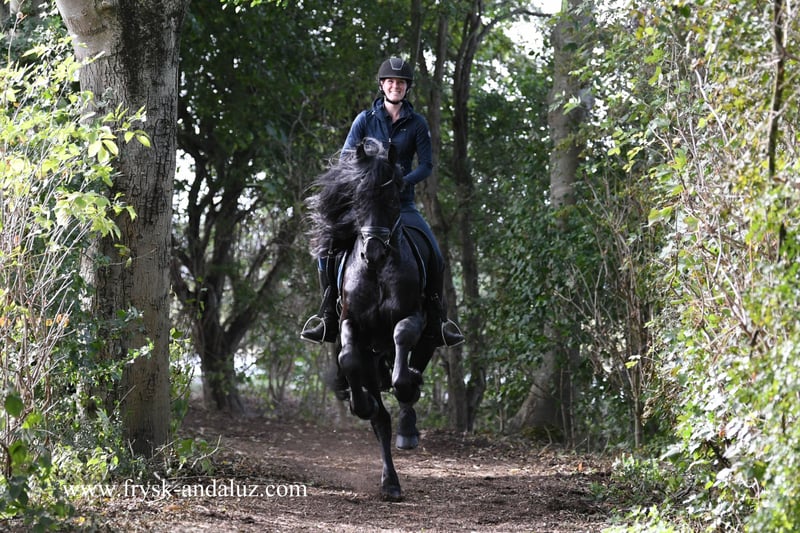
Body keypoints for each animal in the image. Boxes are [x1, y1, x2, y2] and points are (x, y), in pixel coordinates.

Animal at [306, 138, 437, 501]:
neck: (378, 273)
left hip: (430, 336)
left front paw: (406, 391)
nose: (374, 253)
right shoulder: (351, 323)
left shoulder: (413, 315)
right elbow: (348, 357)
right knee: (381, 420)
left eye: (392, 198)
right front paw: (361, 404)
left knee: (411, 374)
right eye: (357, 198)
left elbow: (403, 342)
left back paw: (407, 427)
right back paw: (390, 482)